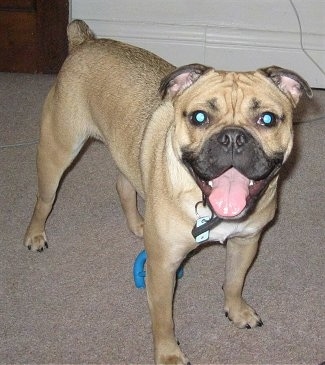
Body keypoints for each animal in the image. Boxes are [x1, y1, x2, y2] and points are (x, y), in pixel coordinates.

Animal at [23, 19, 312, 364]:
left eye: (267, 119)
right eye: (199, 117)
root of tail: (85, 42)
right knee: (44, 200)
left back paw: (138, 223)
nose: (232, 137)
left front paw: (236, 310)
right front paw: (169, 354)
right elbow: (163, 320)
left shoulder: (246, 241)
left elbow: (234, 281)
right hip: (58, 151)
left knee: (123, 184)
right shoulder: (162, 267)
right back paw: (35, 234)